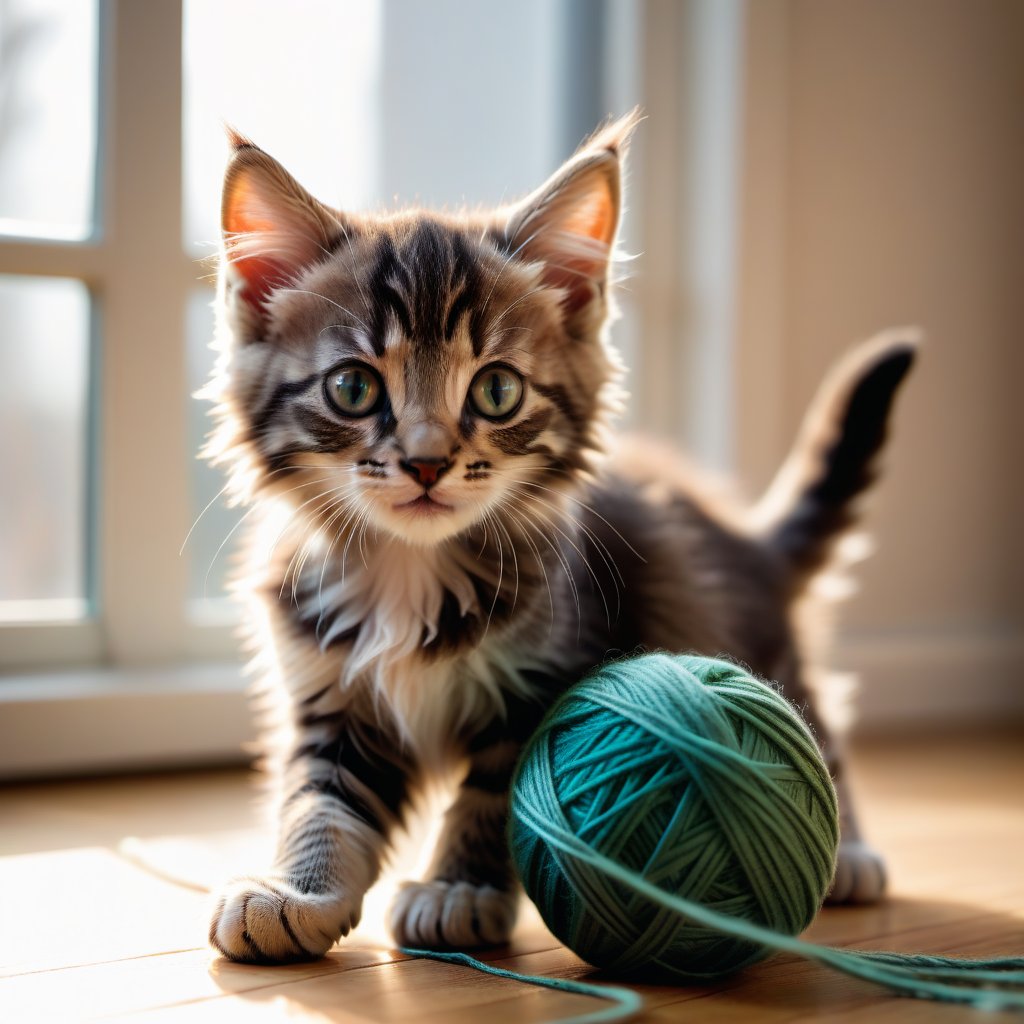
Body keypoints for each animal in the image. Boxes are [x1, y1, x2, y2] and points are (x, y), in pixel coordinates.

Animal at [203, 116, 917, 962]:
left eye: (496, 390)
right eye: (352, 387)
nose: (427, 462)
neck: (410, 569)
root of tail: (742, 536)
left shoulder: (549, 675)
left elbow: (492, 794)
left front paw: (460, 890)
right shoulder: (328, 693)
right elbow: (321, 801)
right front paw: (297, 889)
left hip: (752, 640)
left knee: (812, 722)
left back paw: (851, 853)